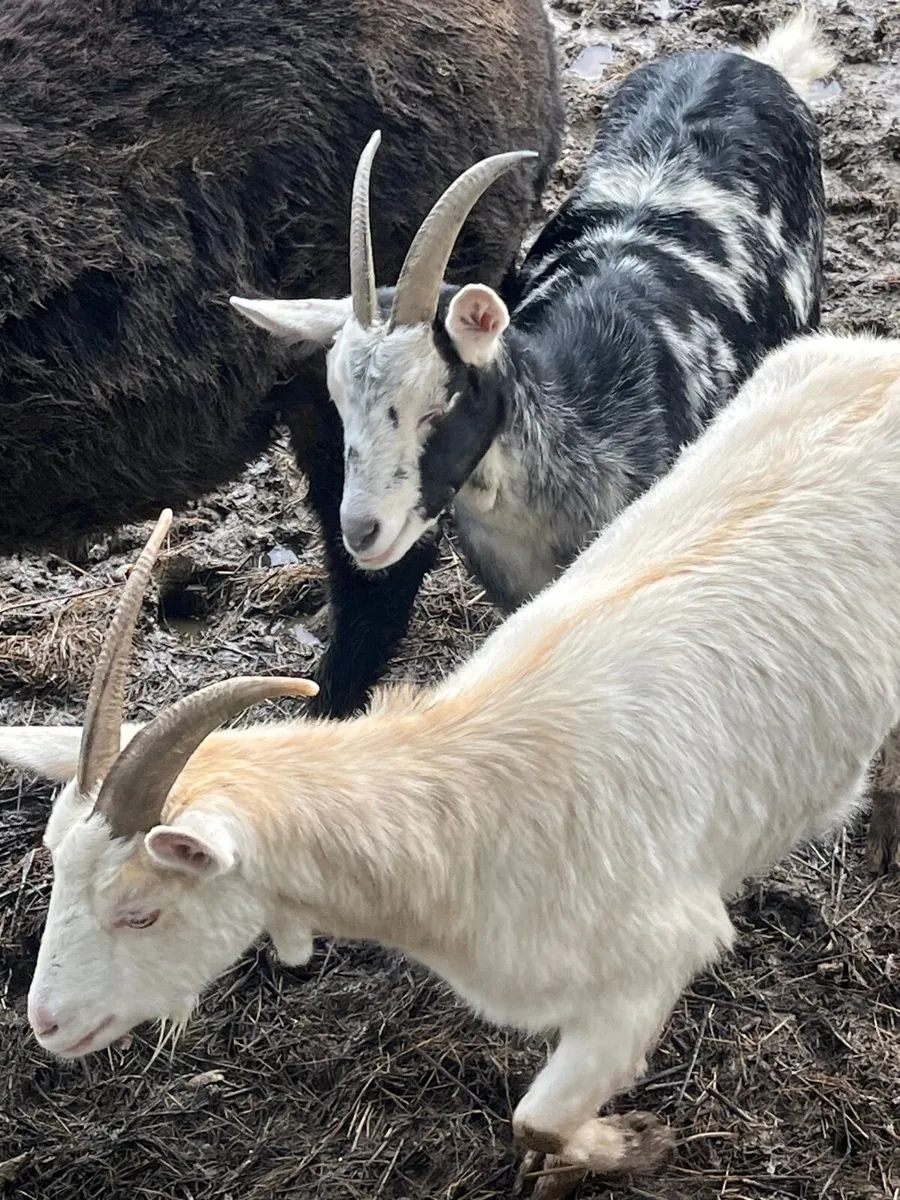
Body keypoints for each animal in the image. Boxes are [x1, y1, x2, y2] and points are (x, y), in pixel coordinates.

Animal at [2, 330, 899, 1190]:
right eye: (54, 866)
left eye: (140, 911)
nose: (47, 1023)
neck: (467, 806)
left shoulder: (657, 959)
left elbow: (536, 1118)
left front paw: (631, 1144)